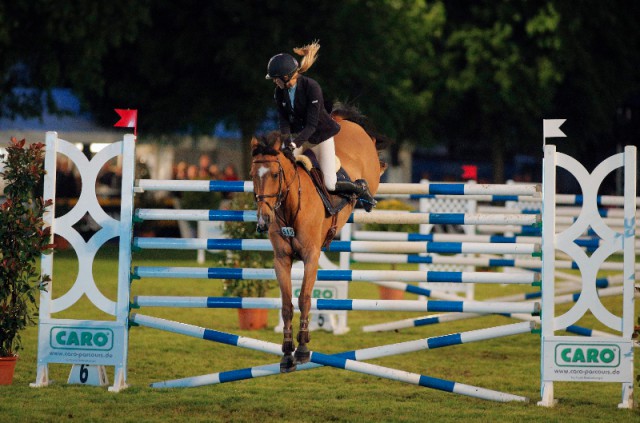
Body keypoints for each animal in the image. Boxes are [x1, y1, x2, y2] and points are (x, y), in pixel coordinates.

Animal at [250, 107, 384, 372]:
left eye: (275, 174)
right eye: (252, 175)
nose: (264, 219)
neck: (291, 206)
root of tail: (343, 121)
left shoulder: (311, 256)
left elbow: (304, 299)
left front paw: (302, 349)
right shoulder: (282, 260)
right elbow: (287, 305)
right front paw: (286, 353)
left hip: (369, 170)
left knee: (372, 173)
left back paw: (364, 192)